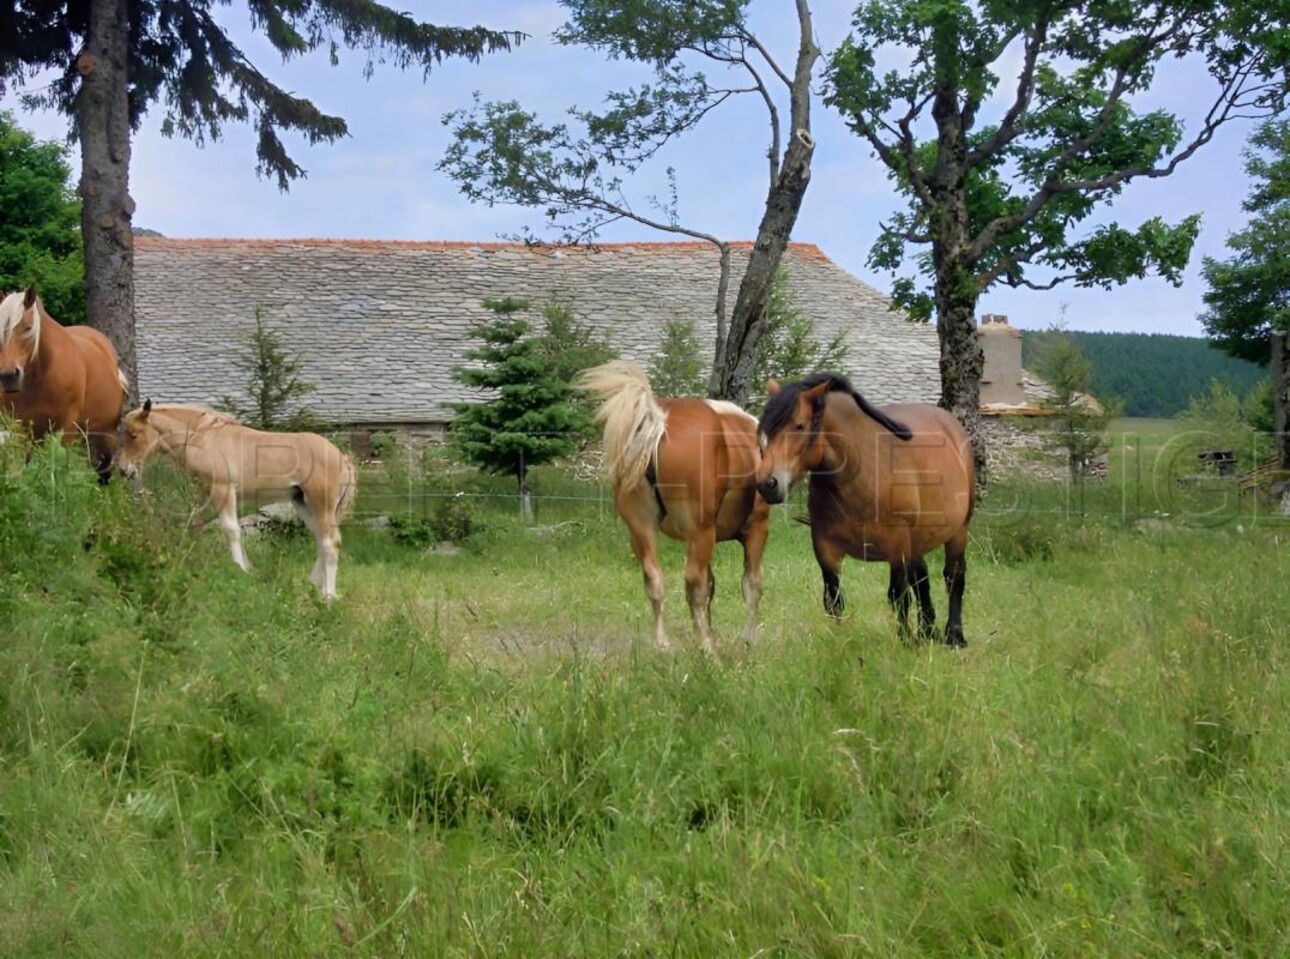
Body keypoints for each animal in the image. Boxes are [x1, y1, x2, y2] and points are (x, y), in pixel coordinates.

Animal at [0, 282, 129, 480]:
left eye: (28, 327)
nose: (8, 376)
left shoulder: (66, 429)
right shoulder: (23, 431)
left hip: (105, 437)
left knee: (103, 474)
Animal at [116, 402, 358, 598]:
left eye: (134, 434)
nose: (124, 470)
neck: (202, 436)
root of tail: (342, 457)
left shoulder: (223, 490)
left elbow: (231, 529)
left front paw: (239, 569)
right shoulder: (204, 493)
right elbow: (199, 525)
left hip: (321, 504)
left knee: (329, 543)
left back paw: (328, 595)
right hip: (302, 503)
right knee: (320, 539)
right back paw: (314, 583)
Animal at [583, 361, 768, 653]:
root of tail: (657, 423)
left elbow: (711, 585)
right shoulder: (755, 529)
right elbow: (750, 585)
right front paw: (748, 639)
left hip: (642, 529)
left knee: (655, 579)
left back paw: (664, 645)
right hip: (700, 532)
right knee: (693, 584)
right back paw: (708, 648)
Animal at [753, 371, 970, 647]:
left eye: (799, 426)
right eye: (766, 429)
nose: (767, 484)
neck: (861, 475)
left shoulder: (897, 547)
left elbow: (898, 597)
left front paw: (905, 642)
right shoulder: (825, 548)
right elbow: (834, 599)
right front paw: (839, 641)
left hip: (958, 530)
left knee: (953, 576)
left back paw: (954, 636)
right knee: (921, 578)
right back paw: (927, 631)